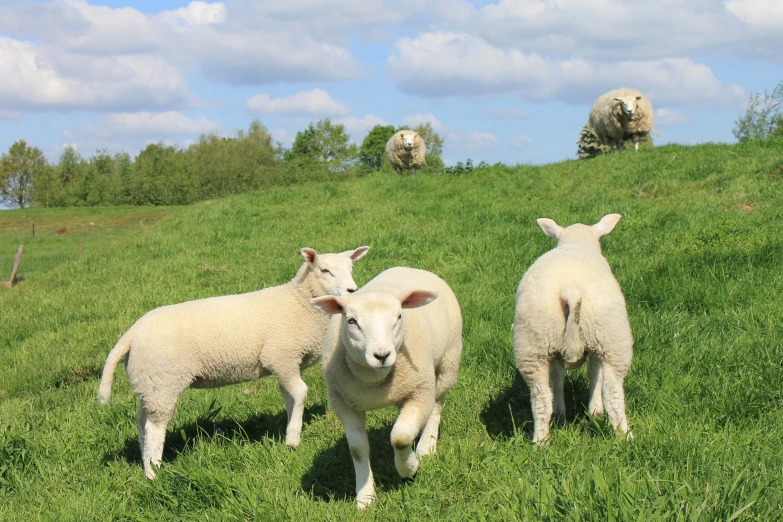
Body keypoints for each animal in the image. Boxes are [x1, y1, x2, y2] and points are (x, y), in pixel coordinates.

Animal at [96, 246, 372, 478]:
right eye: (324, 270)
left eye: (351, 268)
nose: (352, 290)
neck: (299, 300)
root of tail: (131, 334)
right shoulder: (280, 356)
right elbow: (302, 393)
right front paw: (293, 438)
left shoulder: (286, 364)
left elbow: (291, 398)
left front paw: (290, 432)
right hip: (164, 382)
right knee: (155, 427)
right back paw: (154, 472)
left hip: (148, 384)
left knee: (142, 421)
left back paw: (145, 463)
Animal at [310, 266, 462, 506]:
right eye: (351, 321)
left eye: (399, 316)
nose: (381, 355)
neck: (374, 379)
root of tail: (411, 268)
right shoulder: (343, 404)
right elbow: (358, 449)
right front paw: (365, 496)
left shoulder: (421, 392)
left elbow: (400, 437)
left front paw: (409, 467)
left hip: (449, 361)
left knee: (437, 406)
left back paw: (426, 446)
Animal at [516, 214, 636, 442]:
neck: (576, 242)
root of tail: (570, 290)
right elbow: (593, 374)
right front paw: (595, 411)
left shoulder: (555, 351)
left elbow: (557, 376)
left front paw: (560, 412)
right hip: (611, 339)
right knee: (613, 394)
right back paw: (625, 436)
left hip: (534, 345)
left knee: (541, 398)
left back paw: (541, 441)